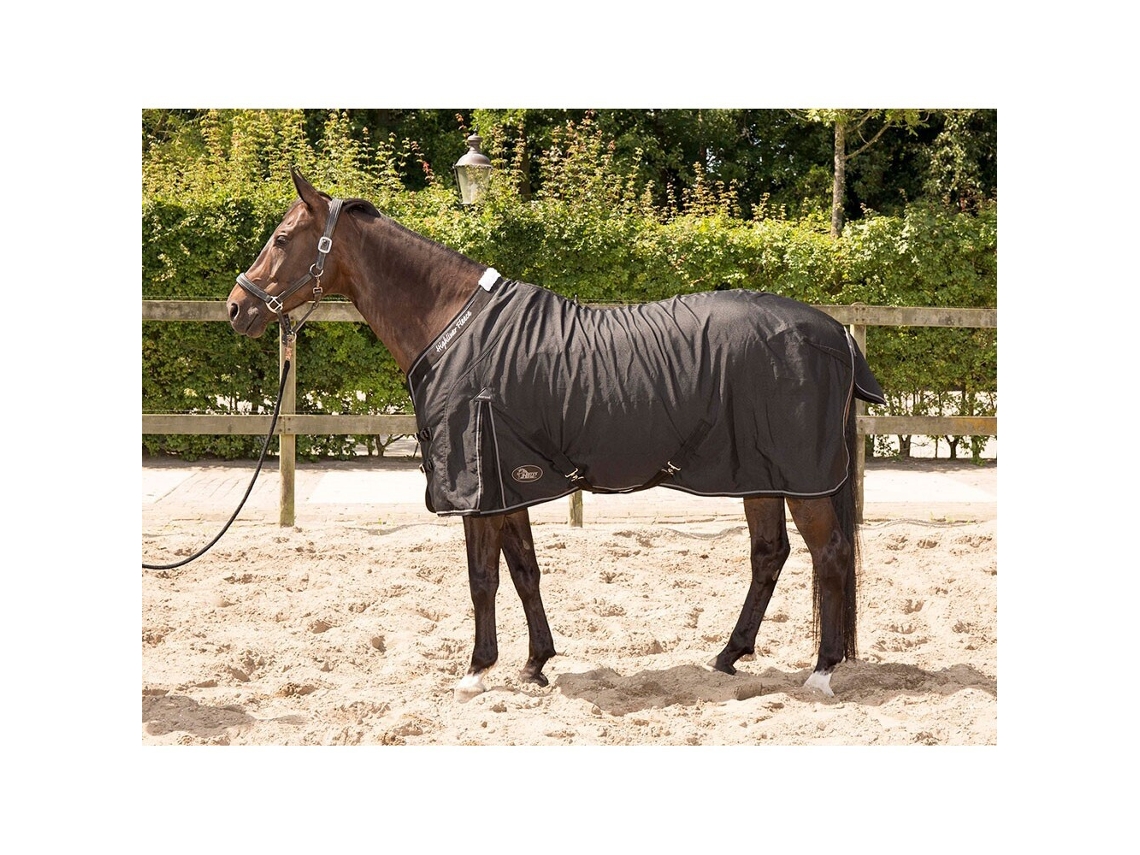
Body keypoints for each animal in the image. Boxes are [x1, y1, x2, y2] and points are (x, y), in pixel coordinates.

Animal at [227, 168, 885, 701]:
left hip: (800, 479)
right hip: (759, 473)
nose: (237, 308)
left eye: (281, 240)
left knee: (829, 555)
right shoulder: (508, 482)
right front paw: (535, 665)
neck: (455, 328)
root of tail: (835, 333)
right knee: (769, 555)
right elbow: (524, 570)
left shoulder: (479, 487)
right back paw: (728, 656)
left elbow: (483, 578)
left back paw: (822, 672)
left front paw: (477, 672)